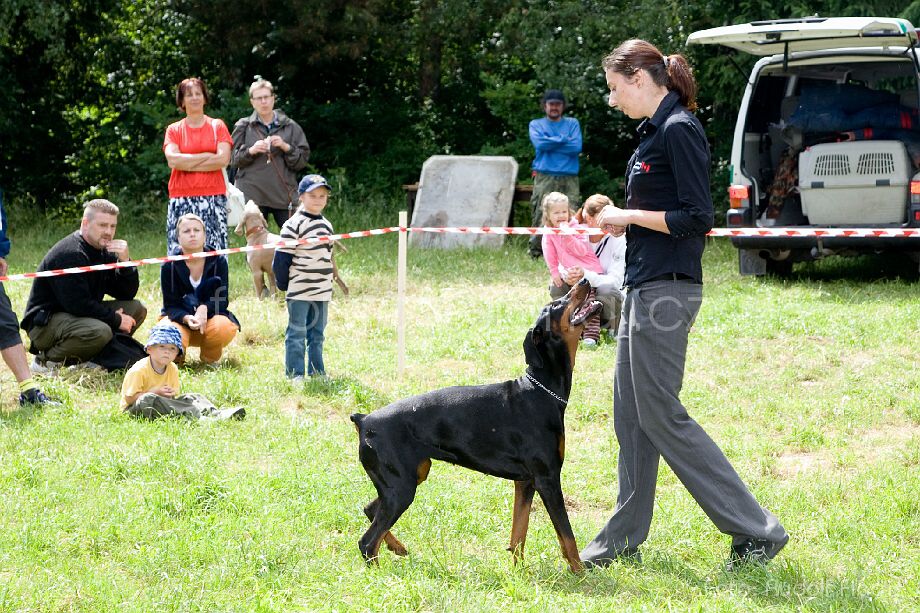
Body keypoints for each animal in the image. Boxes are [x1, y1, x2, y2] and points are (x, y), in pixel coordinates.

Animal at [348, 280, 600, 572]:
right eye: (557, 304)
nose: (584, 281)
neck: (541, 390)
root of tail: (364, 419)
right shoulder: (547, 478)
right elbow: (567, 537)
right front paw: (580, 572)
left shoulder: (525, 481)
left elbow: (519, 534)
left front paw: (517, 571)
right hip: (401, 489)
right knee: (368, 542)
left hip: (406, 479)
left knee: (369, 510)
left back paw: (397, 547)